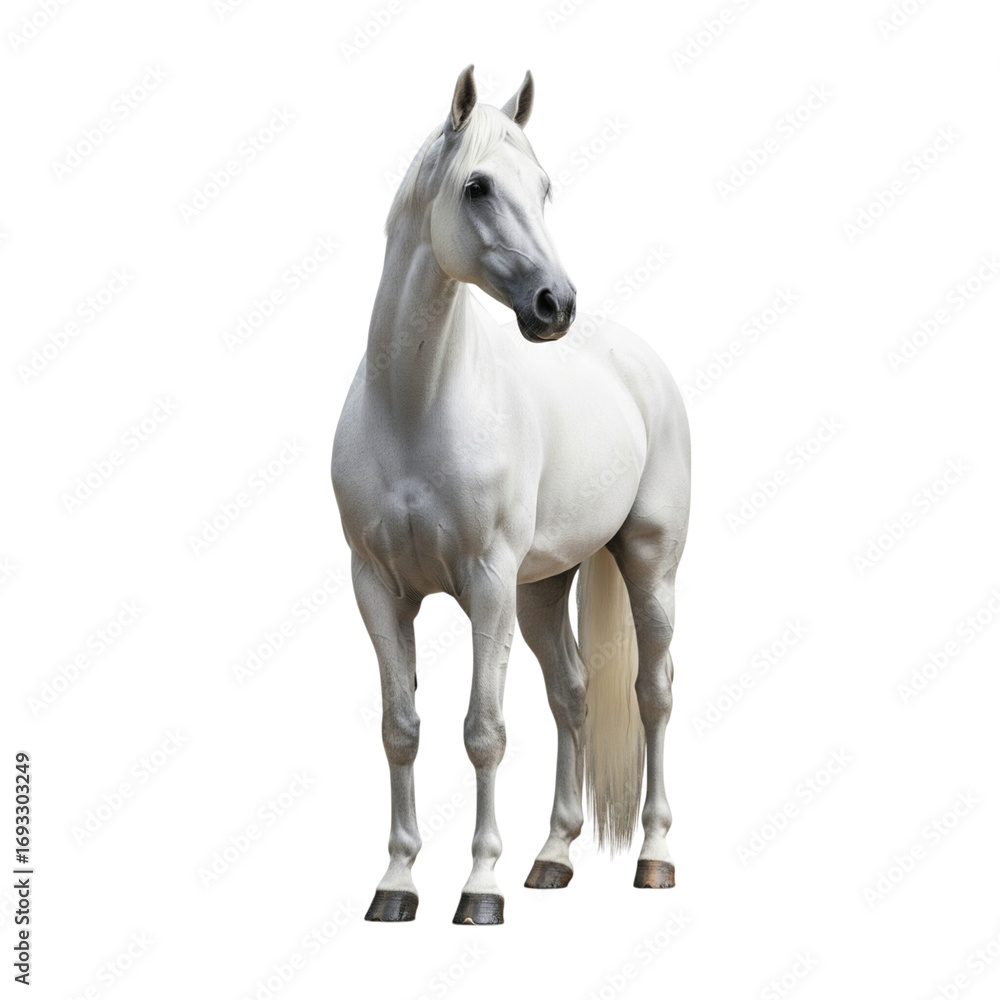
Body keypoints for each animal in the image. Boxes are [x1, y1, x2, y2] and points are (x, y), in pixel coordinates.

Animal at [331, 65, 690, 924]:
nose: (554, 305)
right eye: (478, 186)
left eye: (545, 187)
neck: (414, 408)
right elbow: (401, 727)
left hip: (649, 563)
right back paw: (553, 856)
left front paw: (479, 888)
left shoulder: (486, 585)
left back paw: (655, 857)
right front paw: (397, 882)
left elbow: (484, 731)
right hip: (543, 588)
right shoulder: (376, 586)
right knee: (573, 694)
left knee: (653, 693)